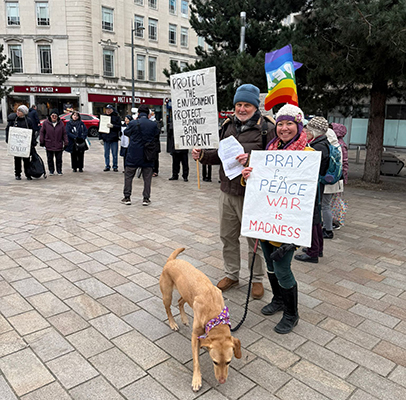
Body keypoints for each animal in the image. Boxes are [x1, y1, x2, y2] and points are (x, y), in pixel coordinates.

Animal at [160, 248, 241, 392]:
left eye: (228, 362)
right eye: (215, 362)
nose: (222, 381)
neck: (215, 316)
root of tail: (171, 261)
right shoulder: (194, 335)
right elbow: (196, 361)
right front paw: (196, 379)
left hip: (186, 294)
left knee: (179, 302)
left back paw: (184, 318)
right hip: (167, 295)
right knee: (168, 309)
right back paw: (173, 323)